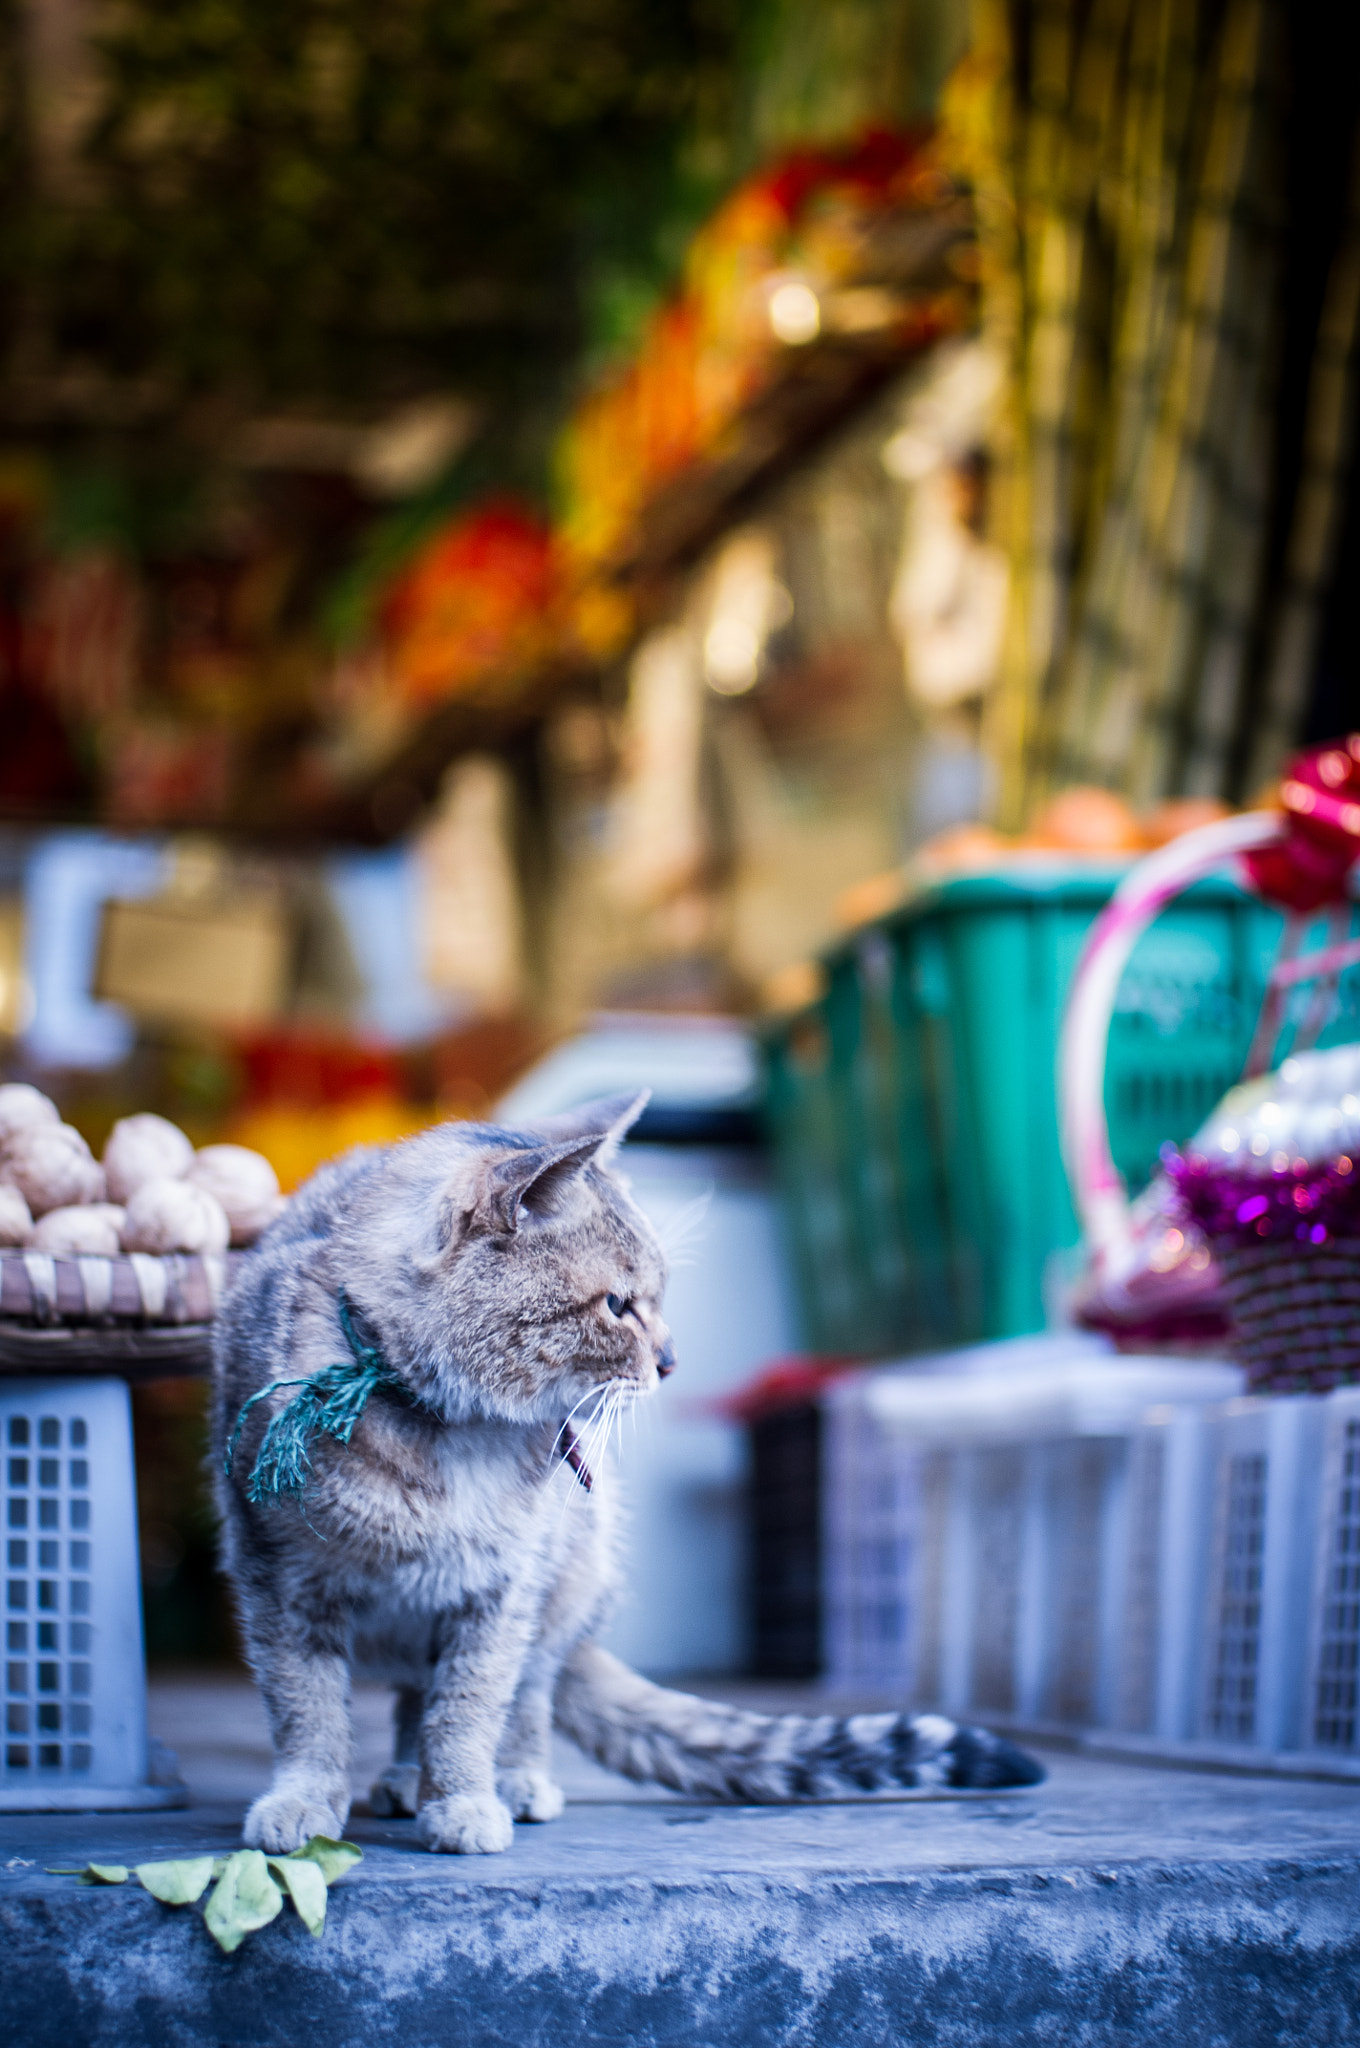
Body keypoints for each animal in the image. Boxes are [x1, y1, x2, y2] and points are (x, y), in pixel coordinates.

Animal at [209, 1089, 1040, 1859]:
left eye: (660, 1296)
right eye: (617, 1305)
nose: (672, 1362)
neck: (442, 1427)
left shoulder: (503, 1588)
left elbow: (471, 1706)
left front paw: (464, 1799)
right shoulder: (276, 1579)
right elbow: (306, 1706)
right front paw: (305, 1798)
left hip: (573, 1570)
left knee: (523, 1693)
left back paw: (502, 1779)